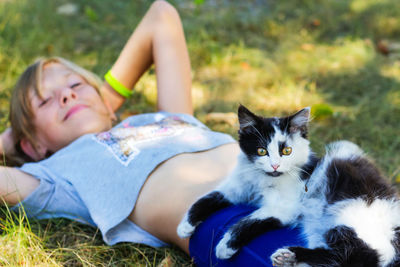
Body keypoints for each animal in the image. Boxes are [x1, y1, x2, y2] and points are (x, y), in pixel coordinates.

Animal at [177, 105, 400, 267]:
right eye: (261, 151)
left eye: (287, 151)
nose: (275, 165)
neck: (262, 180)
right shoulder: (236, 188)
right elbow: (206, 198)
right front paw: (185, 225)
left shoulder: (285, 207)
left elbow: (250, 220)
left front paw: (225, 245)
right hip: (319, 228)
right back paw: (288, 257)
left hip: (351, 211)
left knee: (366, 256)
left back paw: (289, 254)